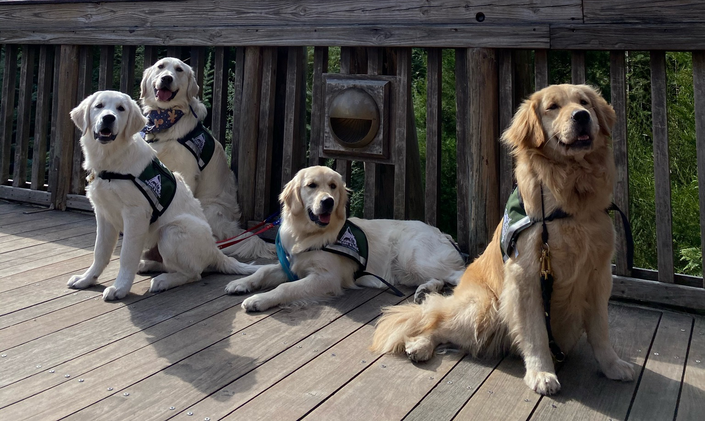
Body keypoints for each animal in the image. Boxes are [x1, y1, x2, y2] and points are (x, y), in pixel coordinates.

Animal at [66, 89, 258, 298]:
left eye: (121, 108)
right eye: (99, 106)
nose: (108, 118)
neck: (111, 161)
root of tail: (216, 251)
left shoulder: (135, 215)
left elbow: (127, 255)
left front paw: (120, 287)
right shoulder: (103, 213)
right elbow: (100, 251)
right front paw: (87, 279)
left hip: (172, 230)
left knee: (193, 273)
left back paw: (163, 281)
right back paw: (147, 265)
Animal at [140, 55, 276, 260]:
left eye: (179, 70)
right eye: (160, 67)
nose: (166, 78)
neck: (165, 119)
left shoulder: (187, 172)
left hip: (208, 208)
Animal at [226, 164, 468, 312]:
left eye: (333, 186)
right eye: (311, 185)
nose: (328, 201)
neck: (308, 234)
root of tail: (442, 233)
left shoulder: (326, 277)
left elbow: (285, 288)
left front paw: (258, 300)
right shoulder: (293, 264)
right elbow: (264, 270)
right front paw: (240, 283)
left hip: (414, 258)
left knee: (458, 274)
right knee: (441, 278)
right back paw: (425, 290)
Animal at [372, 84, 636, 394]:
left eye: (584, 102)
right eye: (553, 107)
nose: (582, 116)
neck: (570, 202)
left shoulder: (597, 276)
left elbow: (600, 330)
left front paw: (613, 365)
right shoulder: (526, 277)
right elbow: (535, 332)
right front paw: (541, 374)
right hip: (484, 308)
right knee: (435, 321)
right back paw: (420, 345)